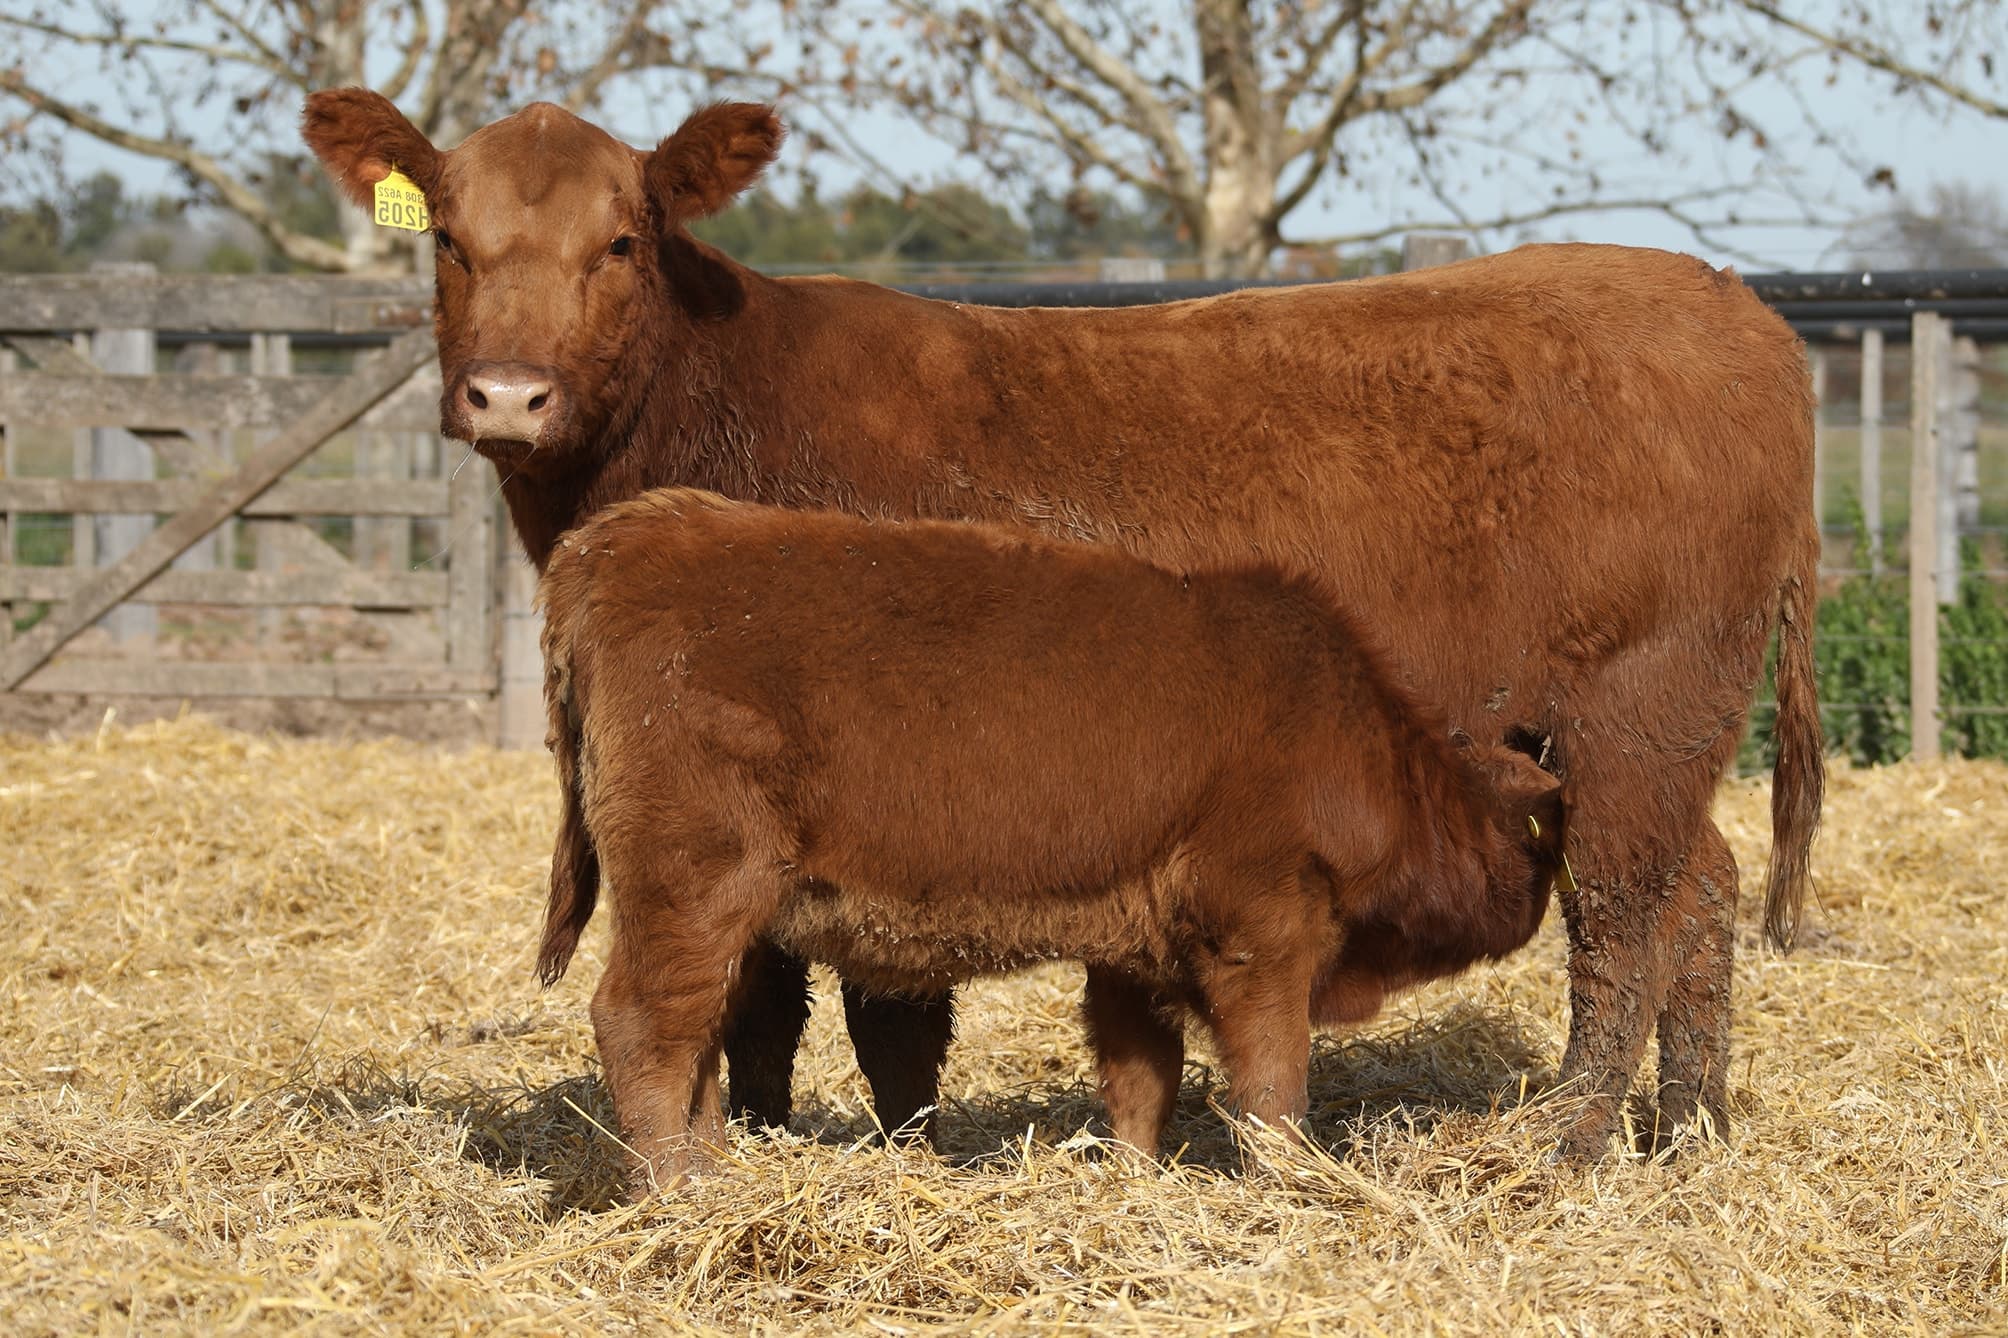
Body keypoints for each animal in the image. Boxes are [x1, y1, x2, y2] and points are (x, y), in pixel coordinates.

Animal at [536, 486, 1573, 1190]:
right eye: (1535, 834)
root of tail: (625, 535)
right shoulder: (1266, 926)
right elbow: (1274, 1082)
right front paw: (1289, 1182)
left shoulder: (1135, 947)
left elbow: (1140, 1079)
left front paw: (1135, 1181)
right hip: (693, 884)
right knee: (643, 1023)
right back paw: (677, 1196)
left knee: (698, 1036)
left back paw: (716, 1174)